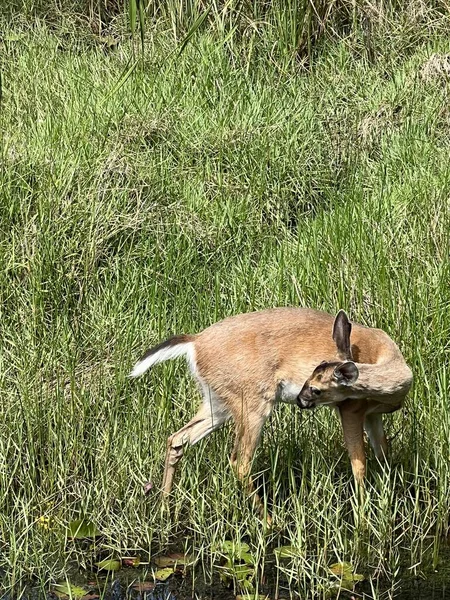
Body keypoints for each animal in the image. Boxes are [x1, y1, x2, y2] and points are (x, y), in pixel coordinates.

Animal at [129, 308, 412, 516]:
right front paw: (363, 515)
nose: (300, 399)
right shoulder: (351, 408)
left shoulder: (373, 415)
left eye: (316, 383)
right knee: (239, 462)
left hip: (217, 402)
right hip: (252, 402)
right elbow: (359, 463)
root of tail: (195, 342)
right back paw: (270, 522)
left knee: (178, 438)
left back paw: (164, 508)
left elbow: (383, 454)